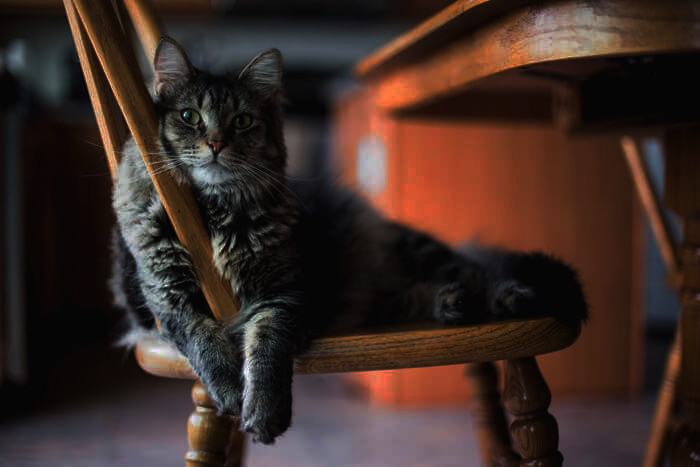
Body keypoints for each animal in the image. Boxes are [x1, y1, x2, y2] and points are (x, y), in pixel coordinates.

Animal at [112, 36, 588, 446]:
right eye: (189, 116)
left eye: (242, 121)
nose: (214, 144)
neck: (213, 213)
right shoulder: (168, 298)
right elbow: (205, 342)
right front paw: (230, 391)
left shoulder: (281, 296)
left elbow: (265, 353)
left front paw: (264, 411)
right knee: (419, 293)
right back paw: (451, 303)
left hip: (418, 255)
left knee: (477, 272)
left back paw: (509, 297)